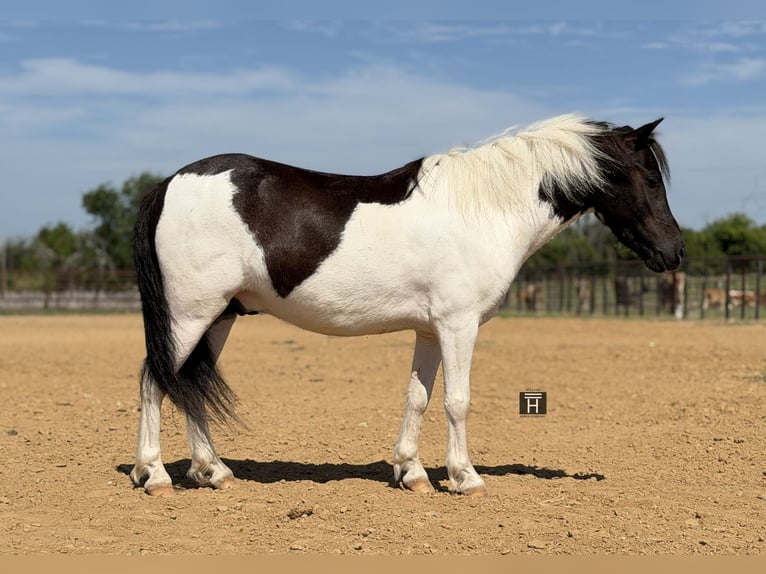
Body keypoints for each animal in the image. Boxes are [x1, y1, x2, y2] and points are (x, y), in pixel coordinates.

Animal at [130, 114, 684, 497]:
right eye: (650, 179)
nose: (675, 252)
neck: (486, 209)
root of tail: (167, 185)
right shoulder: (459, 325)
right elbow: (457, 400)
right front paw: (465, 477)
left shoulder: (429, 330)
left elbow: (417, 396)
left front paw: (412, 472)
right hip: (189, 315)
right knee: (156, 381)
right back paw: (154, 475)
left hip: (219, 317)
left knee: (190, 386)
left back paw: (214, 472)